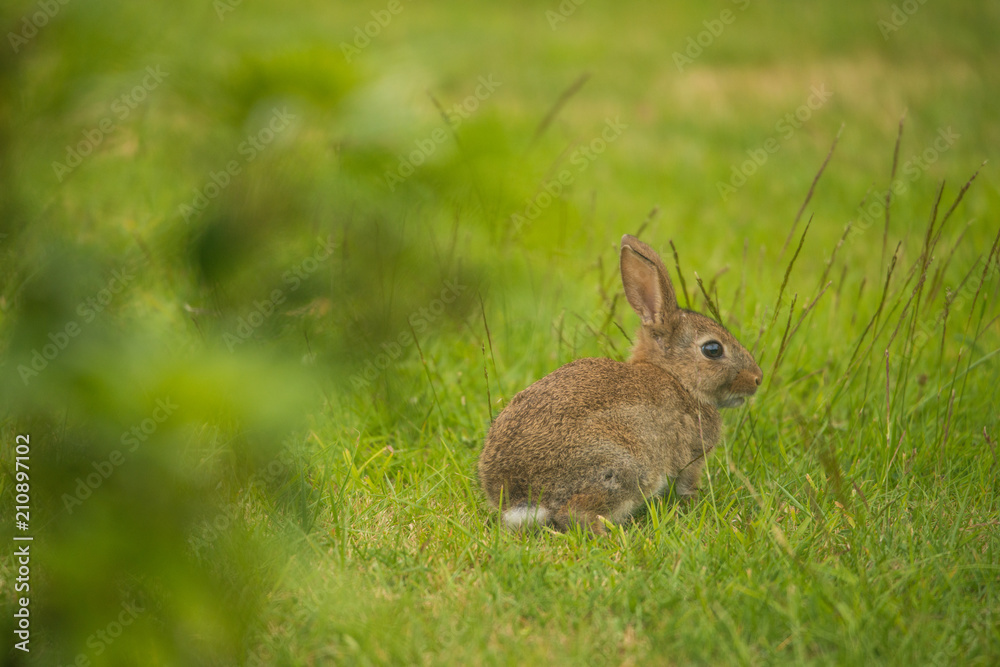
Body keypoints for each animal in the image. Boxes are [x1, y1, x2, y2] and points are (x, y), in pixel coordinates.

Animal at [478, 234, 762, 533]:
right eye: (713, 350)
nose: (757, 378)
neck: (677, 379)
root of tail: (521, 495)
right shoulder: (691, 456)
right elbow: (687, 485)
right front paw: (695, 503)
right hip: (622, 467)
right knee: (575, 513)